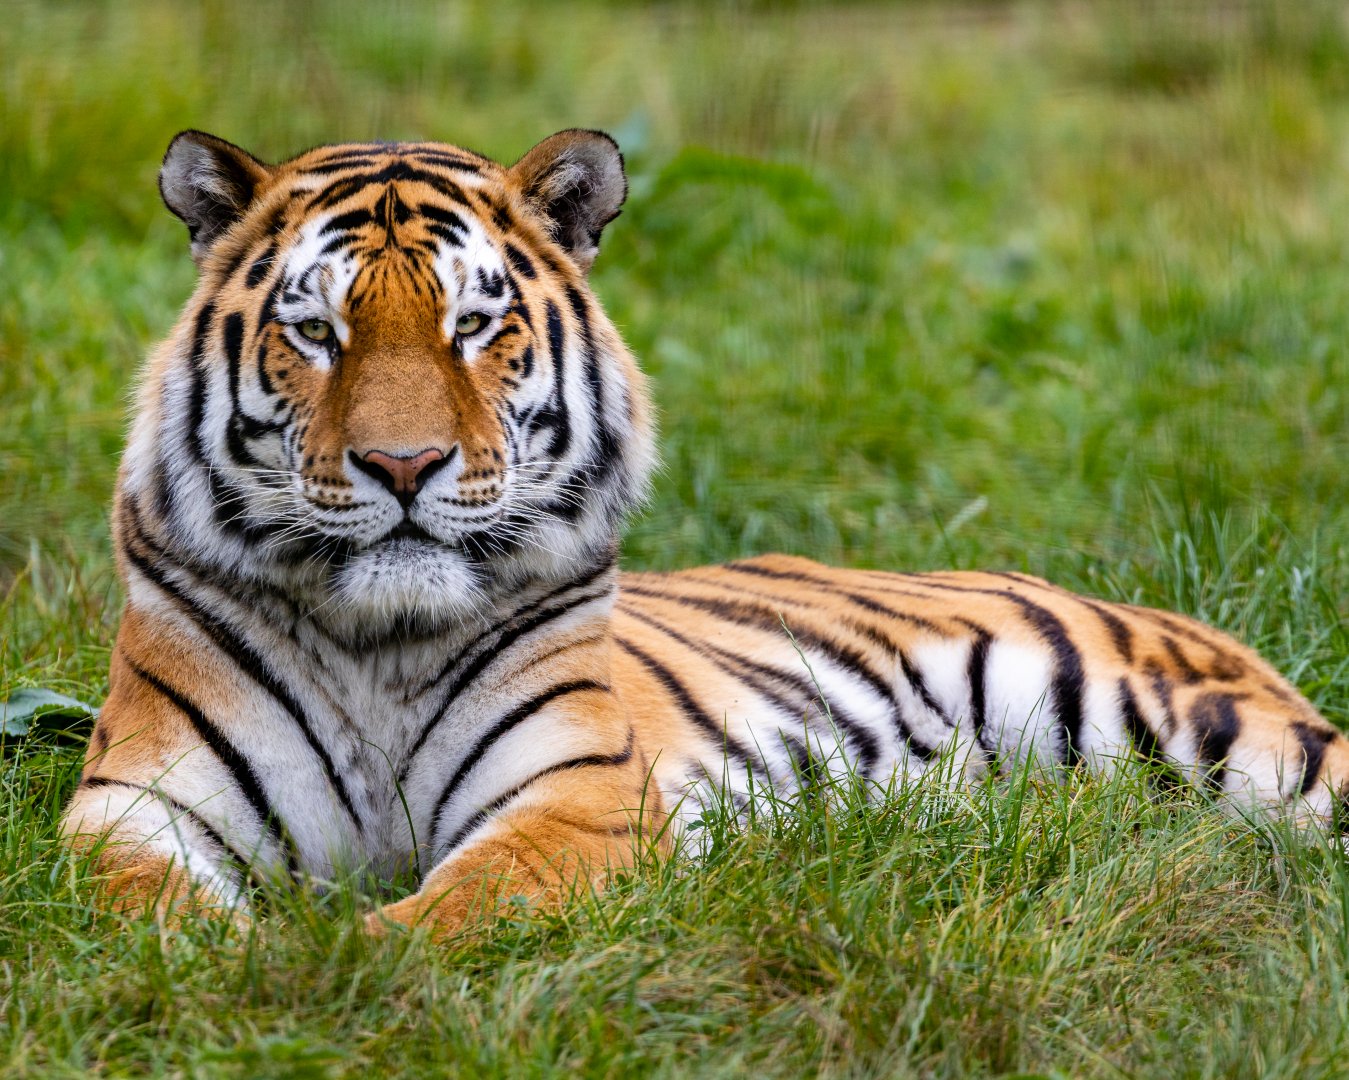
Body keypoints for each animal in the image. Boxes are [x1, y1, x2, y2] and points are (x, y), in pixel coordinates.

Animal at [59, 128, 1349, 938]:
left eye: (473, 325)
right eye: (316, 333)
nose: (404, 465)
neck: (378, 637)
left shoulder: (574, 801)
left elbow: (440, 920)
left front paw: (332, 968)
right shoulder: (134, 803)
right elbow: (144, 912)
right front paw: (246, 964)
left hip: (1208, 736)